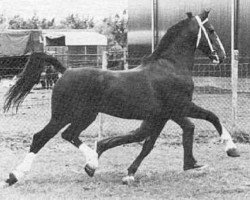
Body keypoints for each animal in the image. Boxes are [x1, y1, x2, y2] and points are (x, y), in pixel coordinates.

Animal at [2, 10, 240, 186]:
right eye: (211, 30)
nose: (221, 56)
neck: (170, 67)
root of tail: (65, 70)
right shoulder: (181, 106)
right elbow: (212, 117)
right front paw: (231, 149)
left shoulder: (164, 114)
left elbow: (150, 142)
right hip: (64, 115)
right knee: (41, 137)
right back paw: (16, 175)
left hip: (86, 115)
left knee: (69, 135)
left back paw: (91, 163)